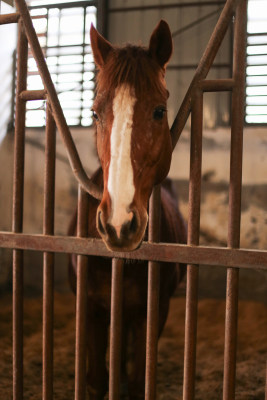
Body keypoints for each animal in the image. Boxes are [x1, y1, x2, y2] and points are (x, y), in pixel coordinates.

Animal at [69, 20, 187, 398]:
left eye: (159, 111)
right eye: (94, 112)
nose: (119, 224)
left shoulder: (153, 313)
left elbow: (138, 381)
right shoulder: (91, 312)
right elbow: (95, 379)